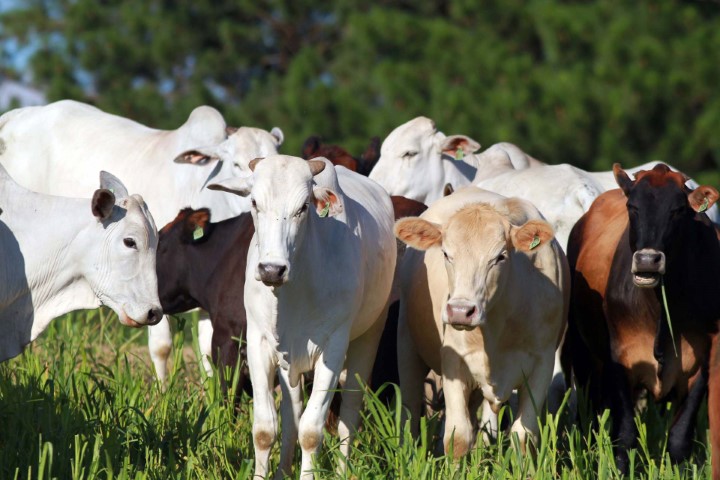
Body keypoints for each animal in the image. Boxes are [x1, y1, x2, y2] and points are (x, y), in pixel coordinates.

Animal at [208, 156, 396, 478]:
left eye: (303, 207)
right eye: (254, 202)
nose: (272, 269)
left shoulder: (333, 348)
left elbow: (311, 431)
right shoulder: (259, 343)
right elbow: (265, 429)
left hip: (369, 336)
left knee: (348, 415)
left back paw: (341, 471)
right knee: (291, 413)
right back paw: (284, 470)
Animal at [394, 186, 568, 456]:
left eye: (500, 257)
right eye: (446, 254)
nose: (460, 310)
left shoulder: (543, 363)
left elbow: (523, 436)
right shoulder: (453, 361)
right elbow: (457, 437)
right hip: (407, 344)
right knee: (410, 409)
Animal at [564, 163, 720, 470]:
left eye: (678, 210)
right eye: (632, 207)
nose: (648, 260)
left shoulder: (701, 363)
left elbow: (679, 439)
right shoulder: (621, 359)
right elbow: (624, 435)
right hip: (583, 353)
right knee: (588, 412)